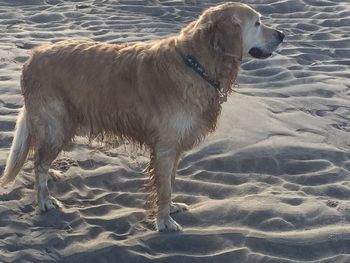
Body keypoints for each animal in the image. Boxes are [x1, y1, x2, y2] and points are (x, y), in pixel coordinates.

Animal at [0, 3, 284, 232]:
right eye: (257, 23)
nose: (283, 35)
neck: (196, 64)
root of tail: (32, 57)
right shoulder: (165, 146)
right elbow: (164, 187)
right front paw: (164, 221)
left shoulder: (173, 146)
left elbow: (170, 181)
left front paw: (170, 208)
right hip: (56, 125)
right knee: (38, 162)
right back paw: (44, 200)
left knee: (40, 160)